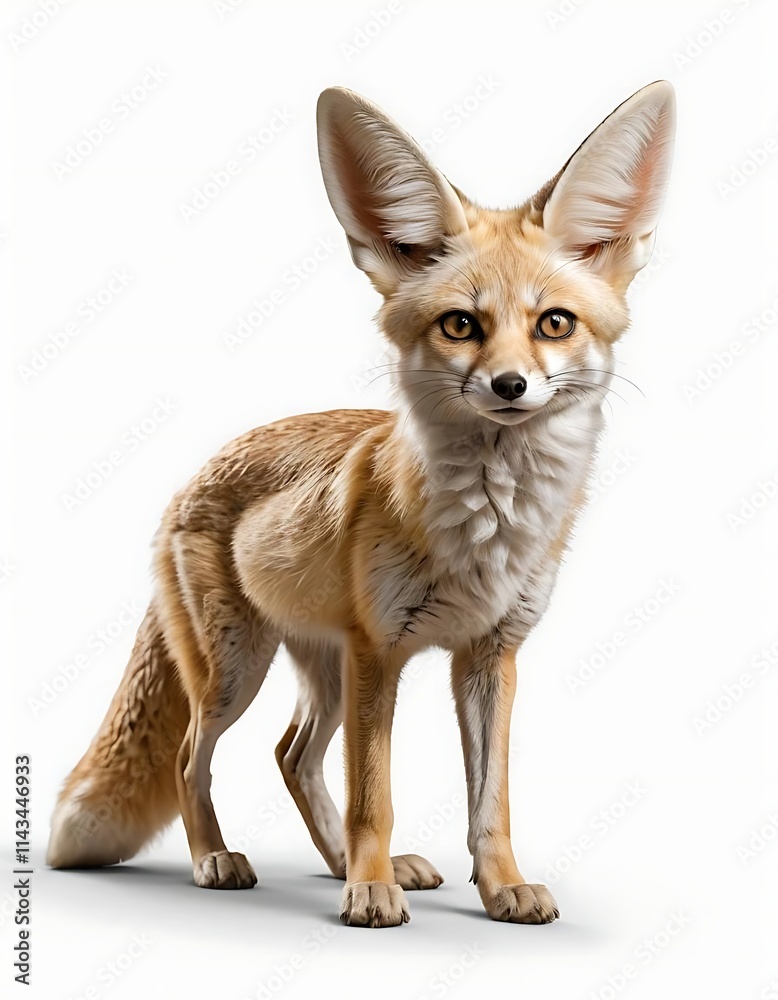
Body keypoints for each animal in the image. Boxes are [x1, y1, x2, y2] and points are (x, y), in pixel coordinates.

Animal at [47, 81, 675, 928]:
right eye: (460, 325)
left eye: (554, 324)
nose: (510, 386)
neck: (487, 534)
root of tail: (196, 472)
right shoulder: (383, 651)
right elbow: (371, 794)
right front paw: (370, 892)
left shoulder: (490, 657)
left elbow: (491, 801)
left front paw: (499, 886)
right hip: (237, 671)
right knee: (190, 757)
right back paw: (221, 859)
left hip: (324, 671)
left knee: (290, 753)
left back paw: (340, 862)